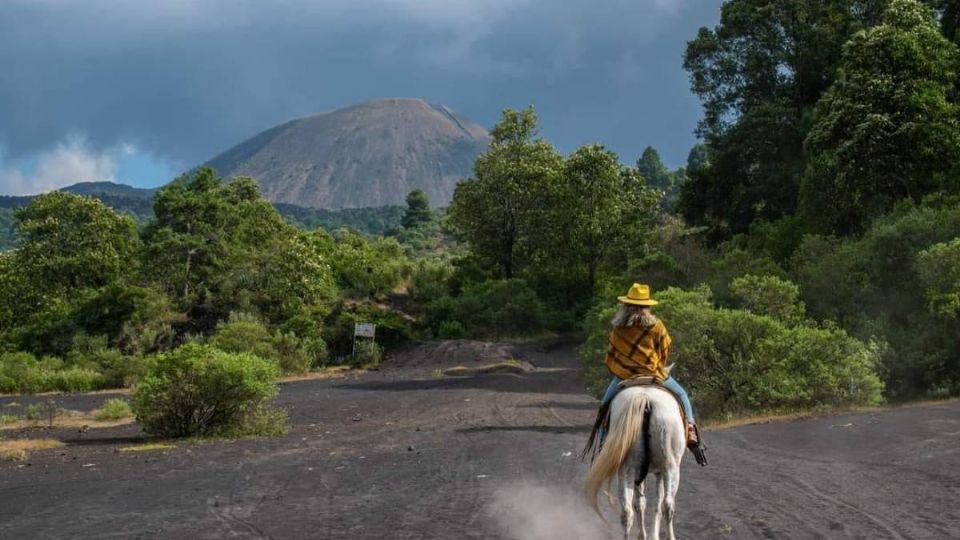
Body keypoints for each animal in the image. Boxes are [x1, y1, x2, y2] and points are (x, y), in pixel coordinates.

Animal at [580, 386, 688, 536]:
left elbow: (640, 503)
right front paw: (653, 535)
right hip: (671, 467)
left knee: (627, 511)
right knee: (668, 505)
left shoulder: (641, 471)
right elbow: (657, 502)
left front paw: (644, 535)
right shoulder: (660, 471)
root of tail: (645, 399)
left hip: (627, 469)